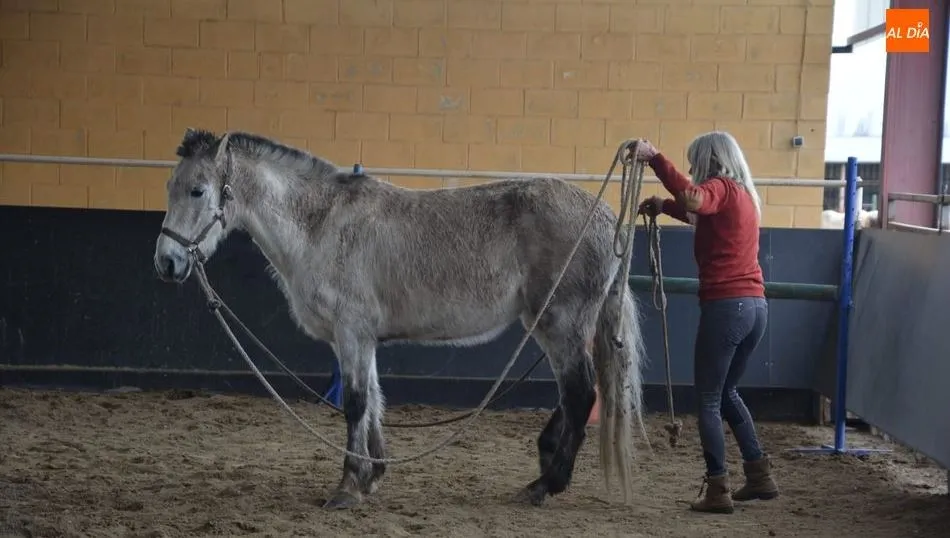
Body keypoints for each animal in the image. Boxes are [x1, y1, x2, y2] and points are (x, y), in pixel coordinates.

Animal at [152, 128, 649, 509]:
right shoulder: (361, 338)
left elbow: (355, 403)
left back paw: (547, 484)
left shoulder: (351, 332)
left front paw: (347, 487)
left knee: (581, 394)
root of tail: (609, 218)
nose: (167, 263)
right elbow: (373, 399)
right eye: (169, 187)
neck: (321, 225)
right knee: (573, 394)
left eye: (197, 190)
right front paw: (372, 475)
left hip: (560, 324)